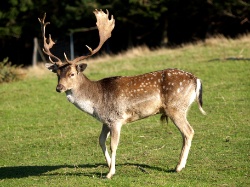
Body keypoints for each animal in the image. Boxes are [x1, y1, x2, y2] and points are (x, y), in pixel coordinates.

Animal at [38, 9, 205, 179]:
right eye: (57, 74)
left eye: (72, 74)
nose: (59, 87)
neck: (96, 101)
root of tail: (196, 79)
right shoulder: (105, 120)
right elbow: (100, 141)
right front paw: (108, 165)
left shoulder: (116, 119)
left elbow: (113, 144)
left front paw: (110, 173)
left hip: (175, 107)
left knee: (188, 132)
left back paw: (178, 167)